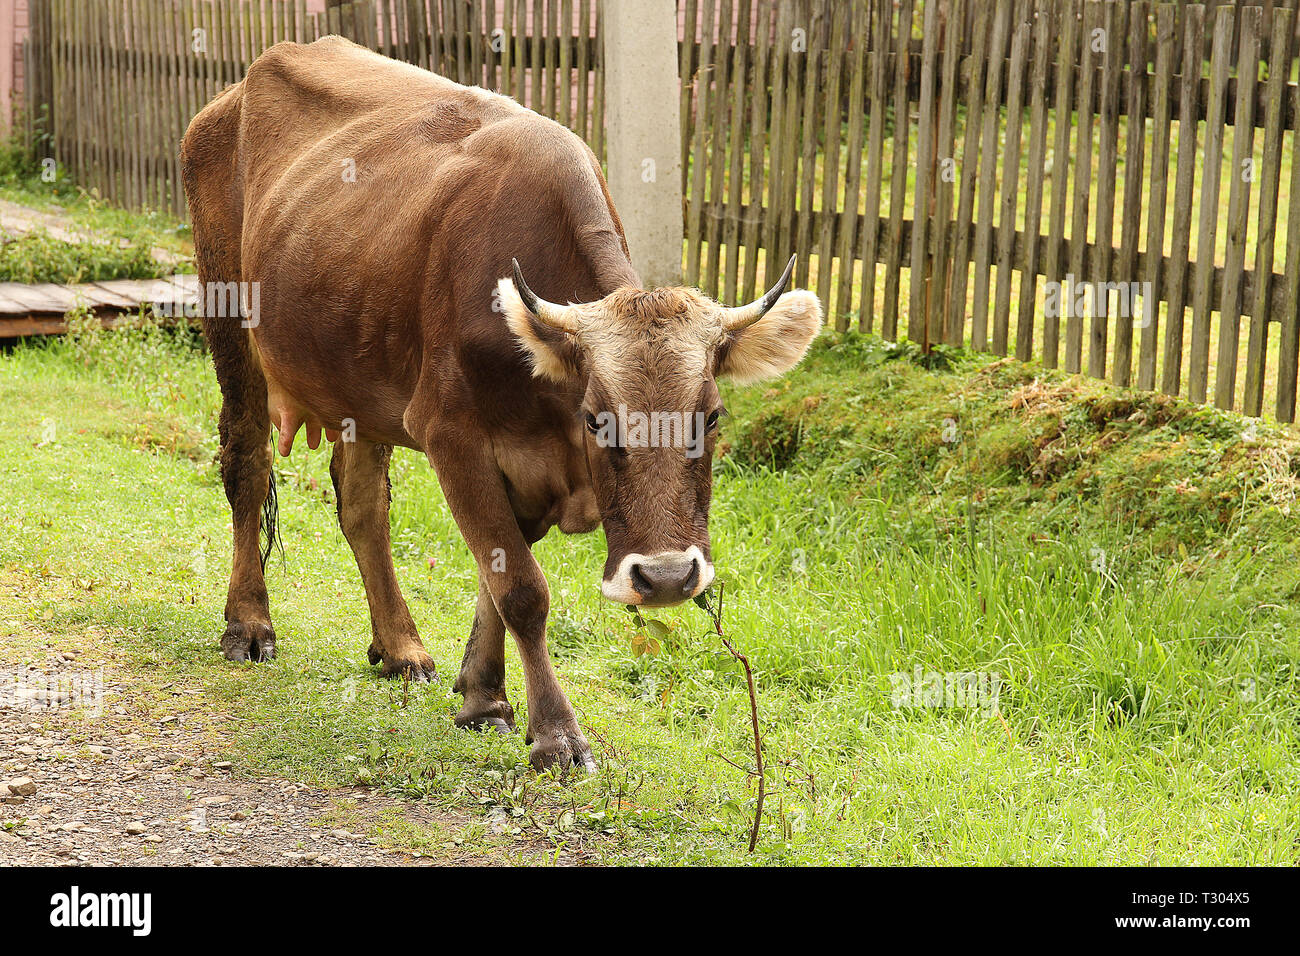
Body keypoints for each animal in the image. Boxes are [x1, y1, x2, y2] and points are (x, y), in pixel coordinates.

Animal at [180, 36, 822, 771]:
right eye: (597, 417)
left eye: (711, 416)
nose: (664, 578)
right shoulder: (451, 433)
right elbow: (520, 587)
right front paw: (556, 734)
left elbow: (493, 577)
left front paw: (481, 695)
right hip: (230, 321)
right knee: (247, 465)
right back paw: (249, 622)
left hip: (353, 374)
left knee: (363, 505)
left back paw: (401, 648)